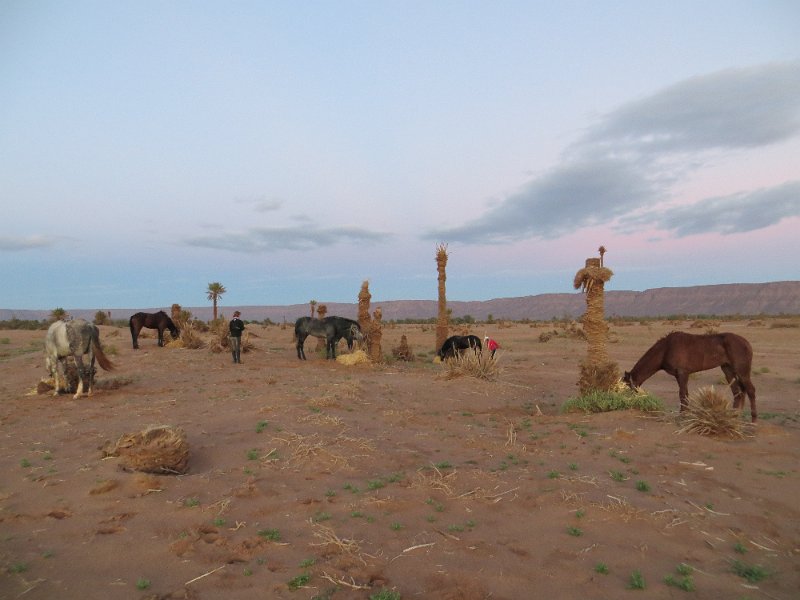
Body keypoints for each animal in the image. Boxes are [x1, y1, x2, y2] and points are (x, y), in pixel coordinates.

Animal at [624, 332, 756, 422]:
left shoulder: (682, 373)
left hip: (742, 371)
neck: (665, 349)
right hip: (727, 369)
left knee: (750, 390)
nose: (628, 403)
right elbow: (685, 394)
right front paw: (686, 414)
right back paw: (734, 416)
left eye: (627, 387)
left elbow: (682, 394)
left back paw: (753, 421)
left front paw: (682, 415)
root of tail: (747, 344)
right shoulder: (681, 375)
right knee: (738, 392)